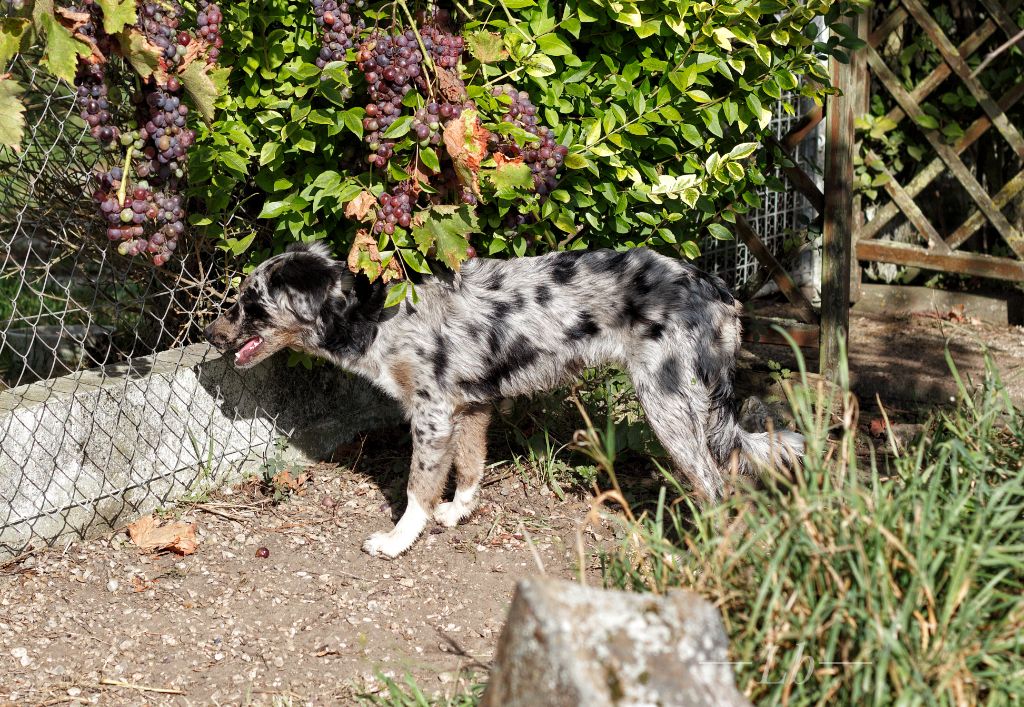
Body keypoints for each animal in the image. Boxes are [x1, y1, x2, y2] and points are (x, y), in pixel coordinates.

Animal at [203, 241, 802, 557]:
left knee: (716, 484)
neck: (371, 316)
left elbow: (417, 487)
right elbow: (470, 468)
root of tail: (717, 290)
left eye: (250, 304)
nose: (209, 334)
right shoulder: (469, 408)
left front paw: (398, 539)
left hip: (668, 403)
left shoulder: (431, 415)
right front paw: (458, 511)